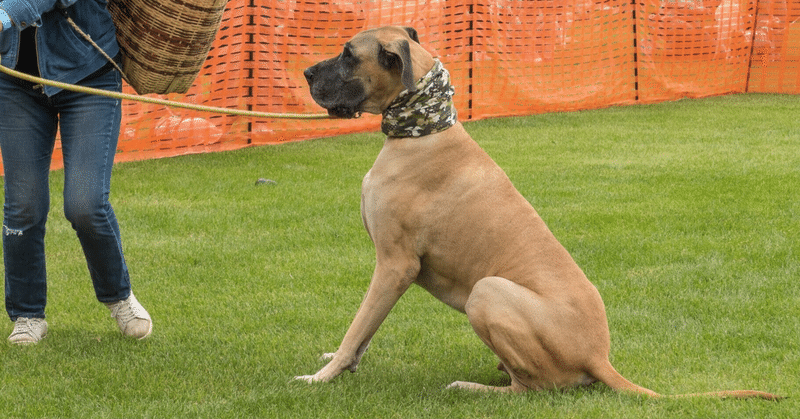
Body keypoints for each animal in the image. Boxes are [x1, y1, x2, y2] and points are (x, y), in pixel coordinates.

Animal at [296, 25, 780, 400]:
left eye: (348, 55)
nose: (305, 73)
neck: (423, 130)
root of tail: (597, 357)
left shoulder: (395, 265)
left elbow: (356, 328)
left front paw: (322, 376)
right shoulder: (393, 272)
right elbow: (365, 332)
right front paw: (342, 365)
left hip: (487, 291)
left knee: (532, 389)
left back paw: (474, 389)